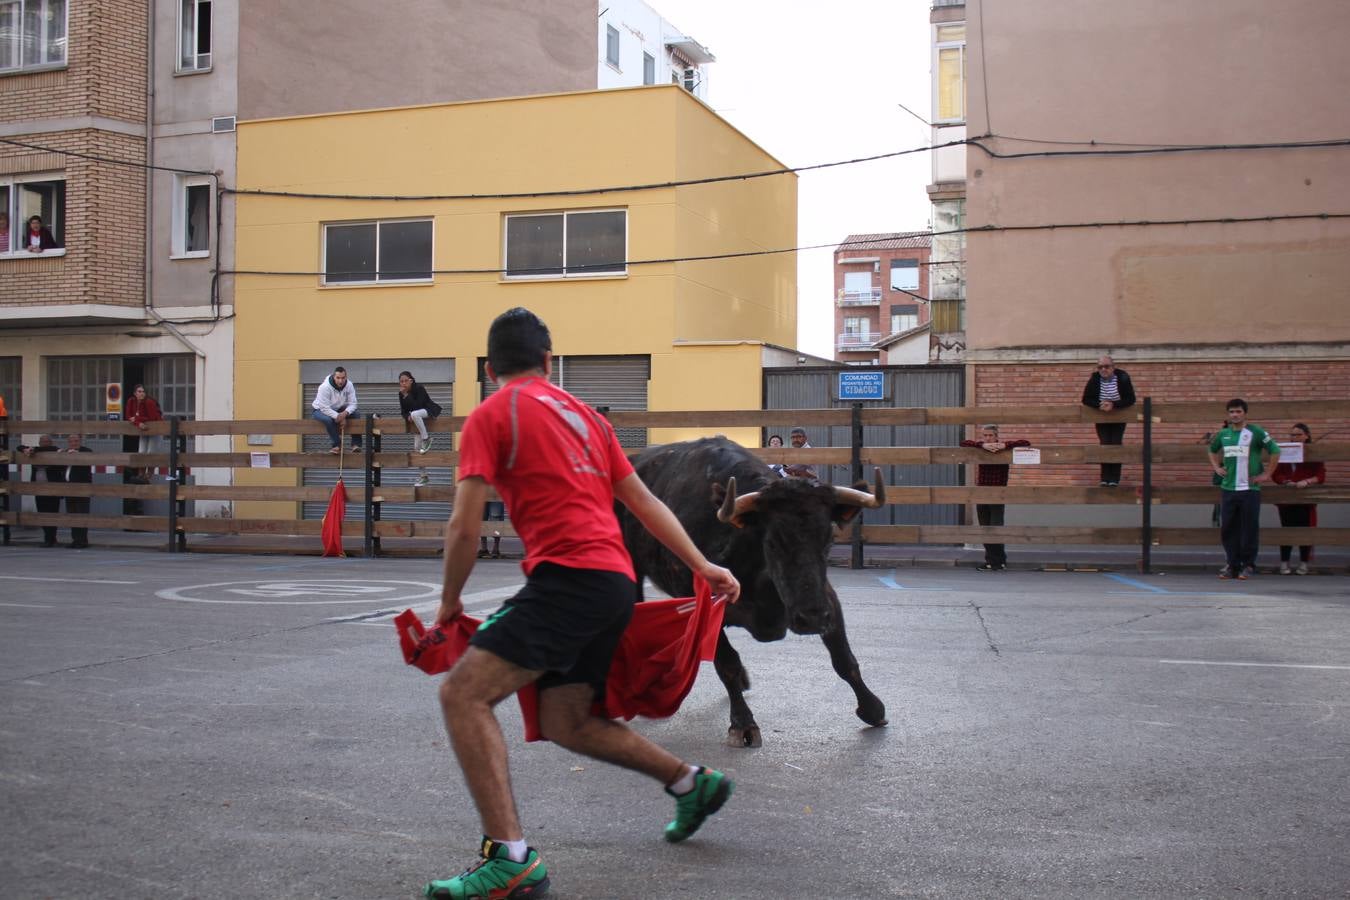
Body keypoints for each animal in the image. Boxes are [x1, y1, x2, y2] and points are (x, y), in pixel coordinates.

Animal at [615, 437, 885, 744]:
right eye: (773, 542)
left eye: (828, 540)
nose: (812, 619)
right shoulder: (709, 606)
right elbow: (727, 662)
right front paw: (743, 723)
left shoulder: (827, 599)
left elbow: (843, 658)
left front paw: (872, 708)